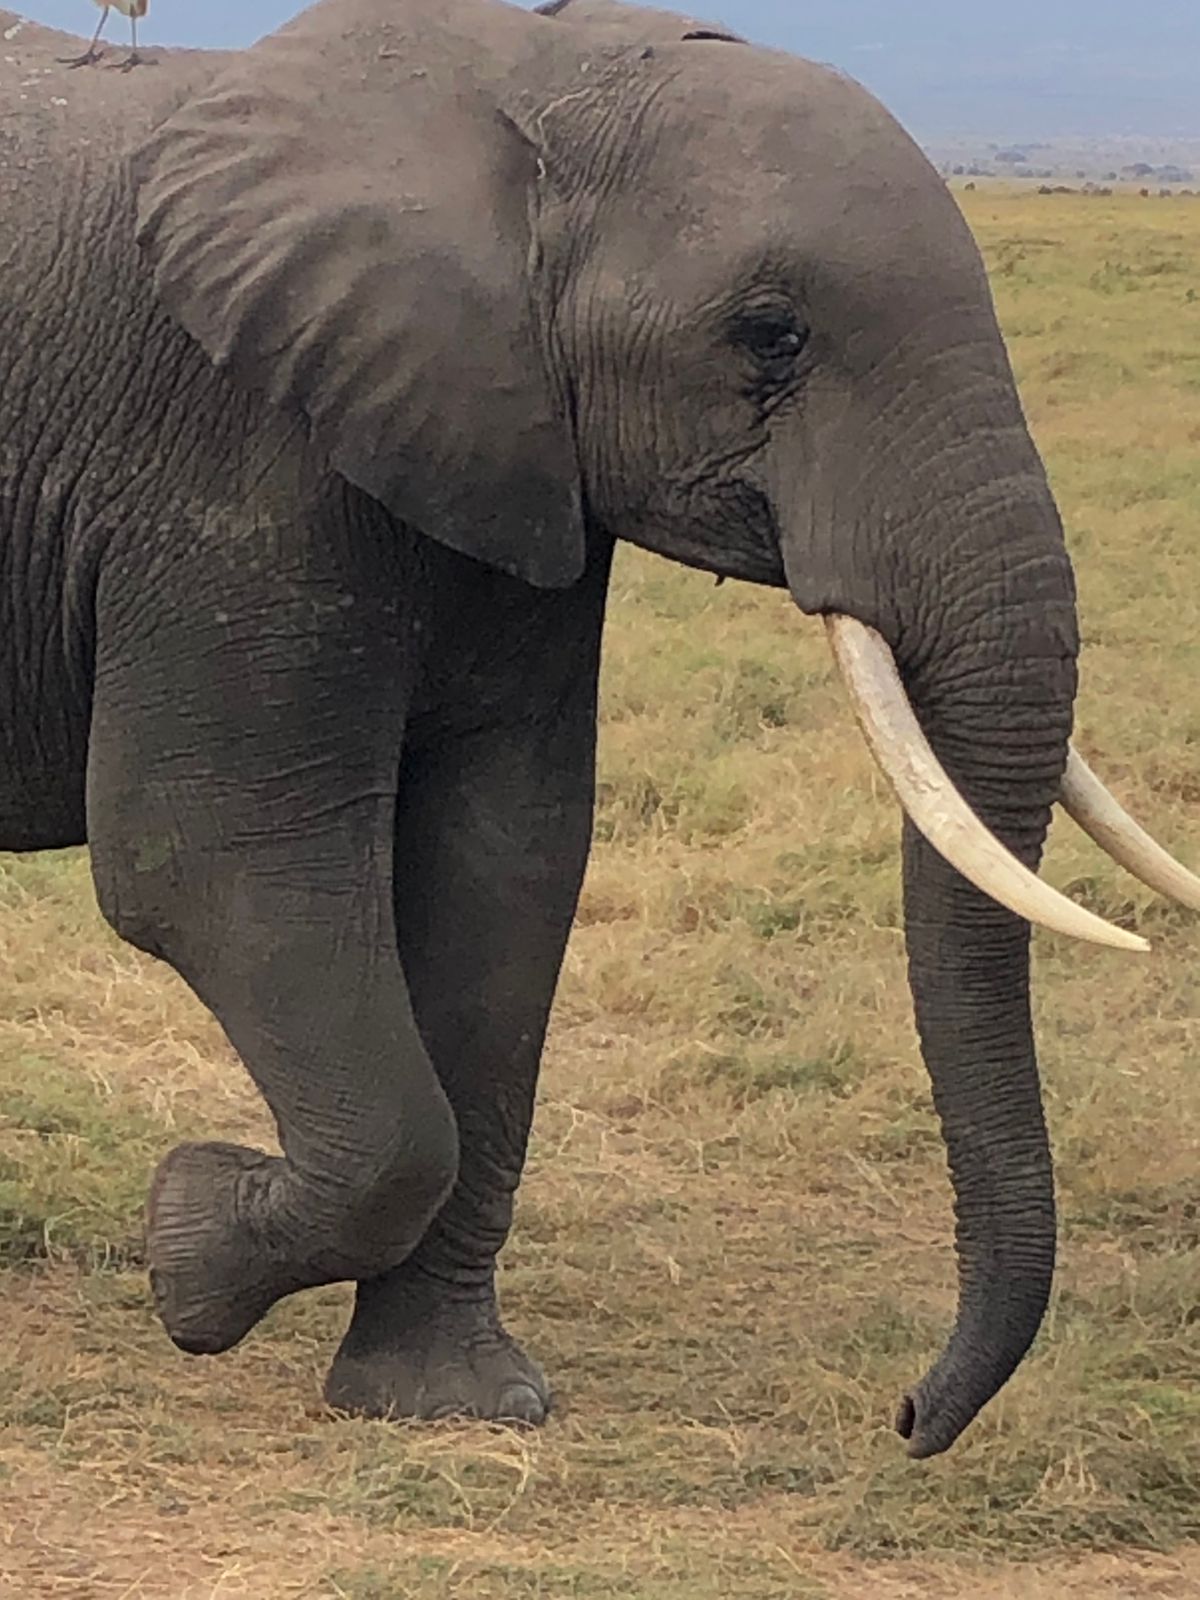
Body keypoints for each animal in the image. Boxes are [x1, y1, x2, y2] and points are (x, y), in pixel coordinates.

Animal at [0, 0, 1195, 1460]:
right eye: (772, 335)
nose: (909, 1416)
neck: (532, 83)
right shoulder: (236, 470)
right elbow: (211, 865)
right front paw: (188, 1248)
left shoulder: (513, 465)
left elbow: (506, 870)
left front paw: (450, 1406)